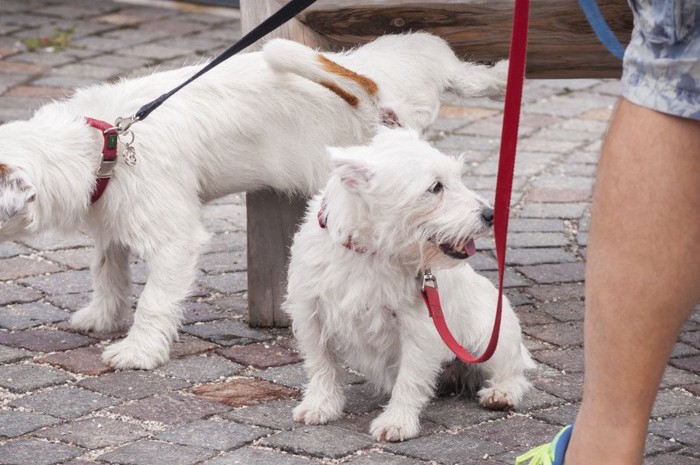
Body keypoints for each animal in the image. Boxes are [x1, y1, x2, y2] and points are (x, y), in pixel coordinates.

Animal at [284, 129, 532, 440]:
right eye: (436, 187)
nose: (490, 214)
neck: (370, 252)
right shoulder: (311, 313)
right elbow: (321, 364)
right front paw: (320, 405)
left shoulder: (418, 327)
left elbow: (409, 378)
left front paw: (397, 421)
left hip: (490, 336)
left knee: (512, 372)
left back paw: (501, 393)